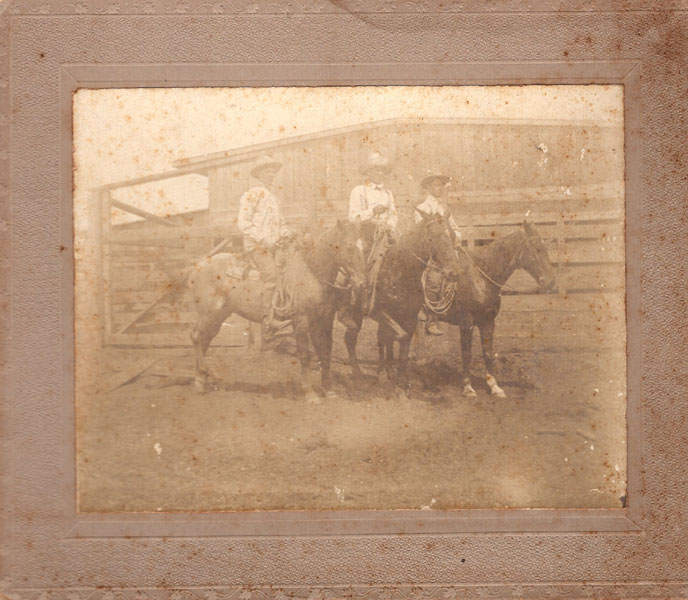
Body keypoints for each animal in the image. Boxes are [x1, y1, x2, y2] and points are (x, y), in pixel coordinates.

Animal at [185, 218, 368, 400]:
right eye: (349, 246)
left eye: (364, 247)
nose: (361, 282)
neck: (312, 273)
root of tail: (197, 266)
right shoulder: (301, 319)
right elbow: (305, 354)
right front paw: (309, 392)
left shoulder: (324, 319)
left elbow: (325, 351)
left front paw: (329, 390)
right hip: (208, 313)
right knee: (196, 337)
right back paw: (212, 375)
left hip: (219, 315)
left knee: (205, 340)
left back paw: (201, 382)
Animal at [344, 211, 462, 394]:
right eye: (433, 237)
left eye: (453, 235)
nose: (454, 273)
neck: (400, 271)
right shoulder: (381, 313)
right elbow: (398, 337)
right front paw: (390, 376)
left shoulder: (410, 318)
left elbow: (402, 345)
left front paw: (402, 382)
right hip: (356, 315)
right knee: (350, 338)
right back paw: (359, 375)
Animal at [436, 220, 560, 398]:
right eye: (537, 249)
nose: (550, 282)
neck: (479, 278)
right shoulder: (466, 322)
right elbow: (466, 354)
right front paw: (468, 388)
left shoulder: (488, 321)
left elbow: (488, 353)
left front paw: (494, 387)